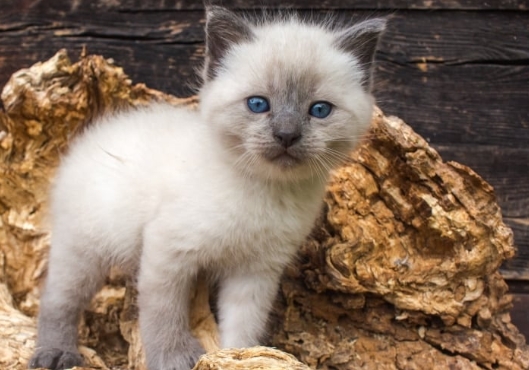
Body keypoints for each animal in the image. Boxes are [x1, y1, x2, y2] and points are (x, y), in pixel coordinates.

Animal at [28, 5, 384, 370]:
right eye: (258, 104)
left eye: (320, 110)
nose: (286, 135)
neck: (264, 189)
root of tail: (89, 138)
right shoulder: (167, 250)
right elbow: (162, 314)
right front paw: (173, 358)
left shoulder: (255, 272)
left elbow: (243, 326)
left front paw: (236, 357)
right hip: (85, 249)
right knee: (57, 300)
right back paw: (55, 354)